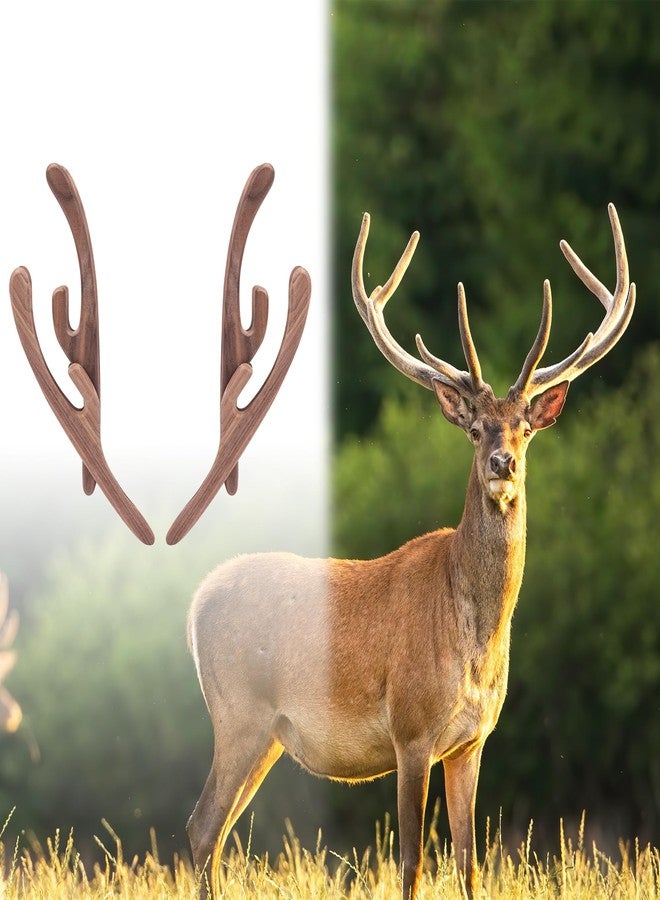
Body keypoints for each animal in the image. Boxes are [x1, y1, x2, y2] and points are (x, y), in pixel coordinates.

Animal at [186, 203, 635, 899]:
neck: (474, 636)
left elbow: (470, 859)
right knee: (201, 827)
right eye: (475, 429)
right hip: (239, 714)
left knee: (216, 830)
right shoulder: (411, 729)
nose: (503, 464)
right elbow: (412, 861)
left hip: (264, 734)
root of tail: (195, 604)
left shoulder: (472, 742)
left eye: (525, 429)